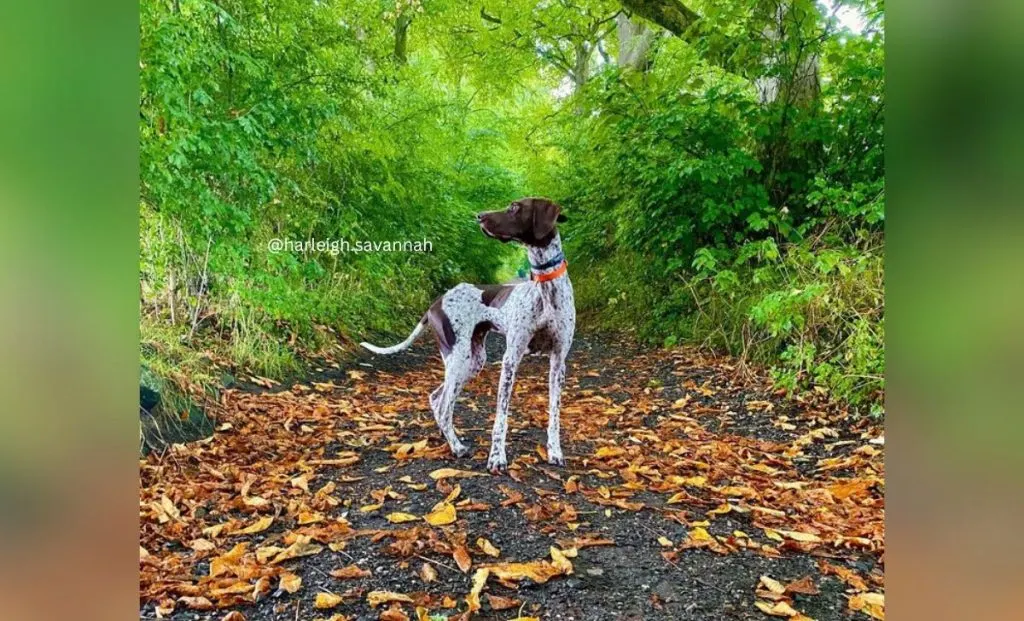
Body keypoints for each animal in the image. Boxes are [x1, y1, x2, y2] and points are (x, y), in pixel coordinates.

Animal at [362, 196, 577, 475]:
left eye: (515, 207)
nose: (479, 216)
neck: (545, 289)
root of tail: (436, 302)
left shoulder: (558, 362)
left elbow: (554, 414)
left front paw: (555, 452)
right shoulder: (511, 359)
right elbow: (501, 419)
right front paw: (496, 458)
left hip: (472, 361)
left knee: (437, 399)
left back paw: (448, 439)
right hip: (459, 358)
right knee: (444, 405)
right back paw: (456, 447)